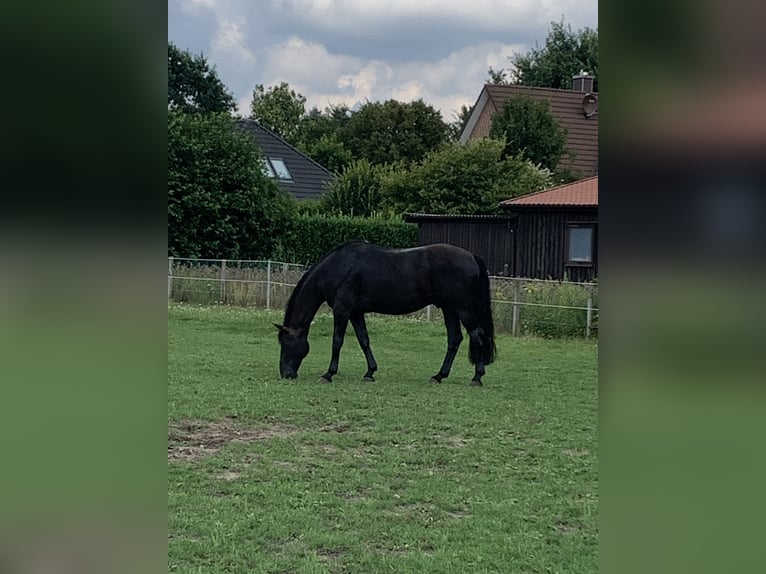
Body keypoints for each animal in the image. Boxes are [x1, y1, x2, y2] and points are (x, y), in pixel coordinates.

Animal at [276, 242, 498, 388]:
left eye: (285, 344)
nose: (286, 374)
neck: (339, 267)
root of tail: (471, 256)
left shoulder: (342, 310)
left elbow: (337, 342)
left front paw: (328, 374)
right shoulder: (356, 312)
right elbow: (364, 341)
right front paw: (370, 372)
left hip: (462, 308)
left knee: (477, 335)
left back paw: (477, 378)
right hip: (449, 309)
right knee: (455, 339)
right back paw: (438, 376)